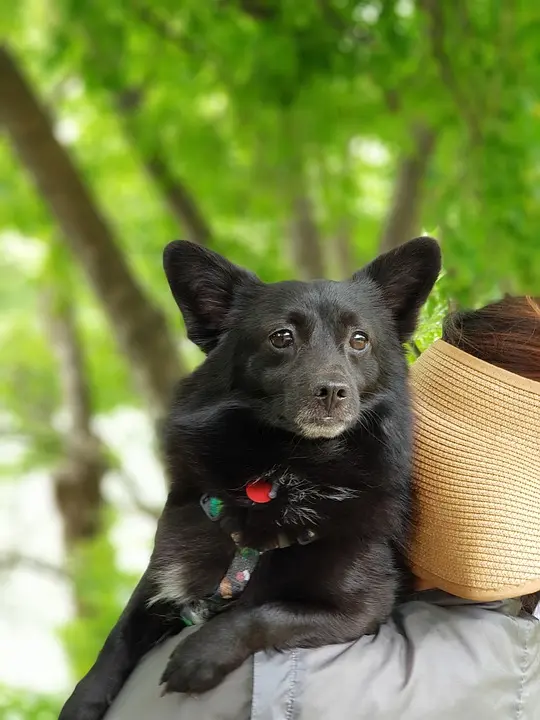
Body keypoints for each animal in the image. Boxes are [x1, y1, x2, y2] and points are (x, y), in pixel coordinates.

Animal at [59, 236, 440, 720]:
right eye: (282, 337)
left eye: (359, 340)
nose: (334, 392)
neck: (282, 476)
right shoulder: (162, 579)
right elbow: (116, 639)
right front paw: (82, 700)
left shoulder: (360, 609)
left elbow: (266, 612)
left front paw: (201, 652)